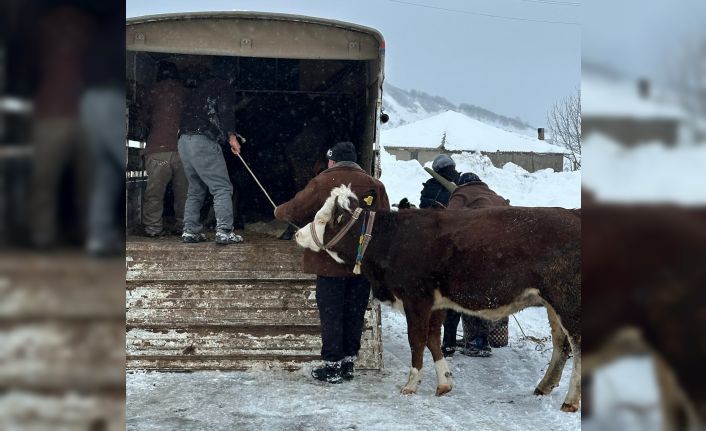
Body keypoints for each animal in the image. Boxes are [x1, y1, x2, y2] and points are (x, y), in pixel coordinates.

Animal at [294, 185, 580, 412]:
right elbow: (433, 338)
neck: (389, 240)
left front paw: (411, 384)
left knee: (576, 345)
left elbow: (417, 339)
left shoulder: (416, 298)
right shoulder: (436, 303)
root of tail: (572, 213)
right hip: (552, 305)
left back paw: (570, 400)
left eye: (321, 219)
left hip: (567, 301)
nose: (297, 234)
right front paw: (444, 382)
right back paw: (544, 386)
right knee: (561, 344)